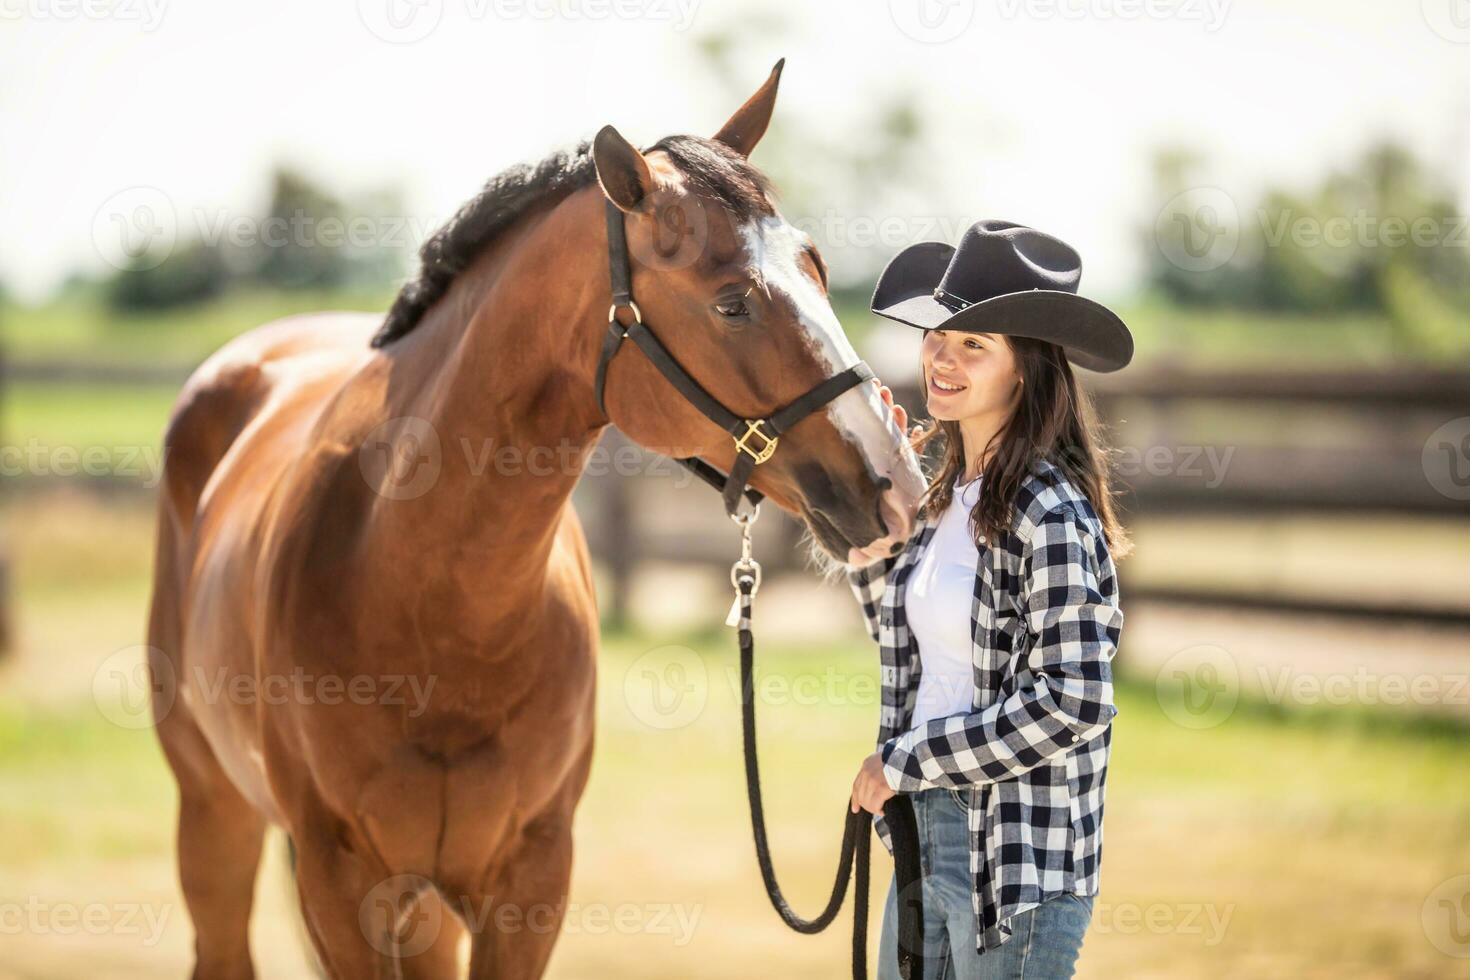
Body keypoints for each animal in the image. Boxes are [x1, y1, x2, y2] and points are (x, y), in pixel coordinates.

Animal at [149, 63, 923, 980]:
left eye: (817, 266)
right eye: (732, 302)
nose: (897, 481)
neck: (424, 597)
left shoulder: (531, 880)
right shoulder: (340, 884)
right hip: (214, 815)